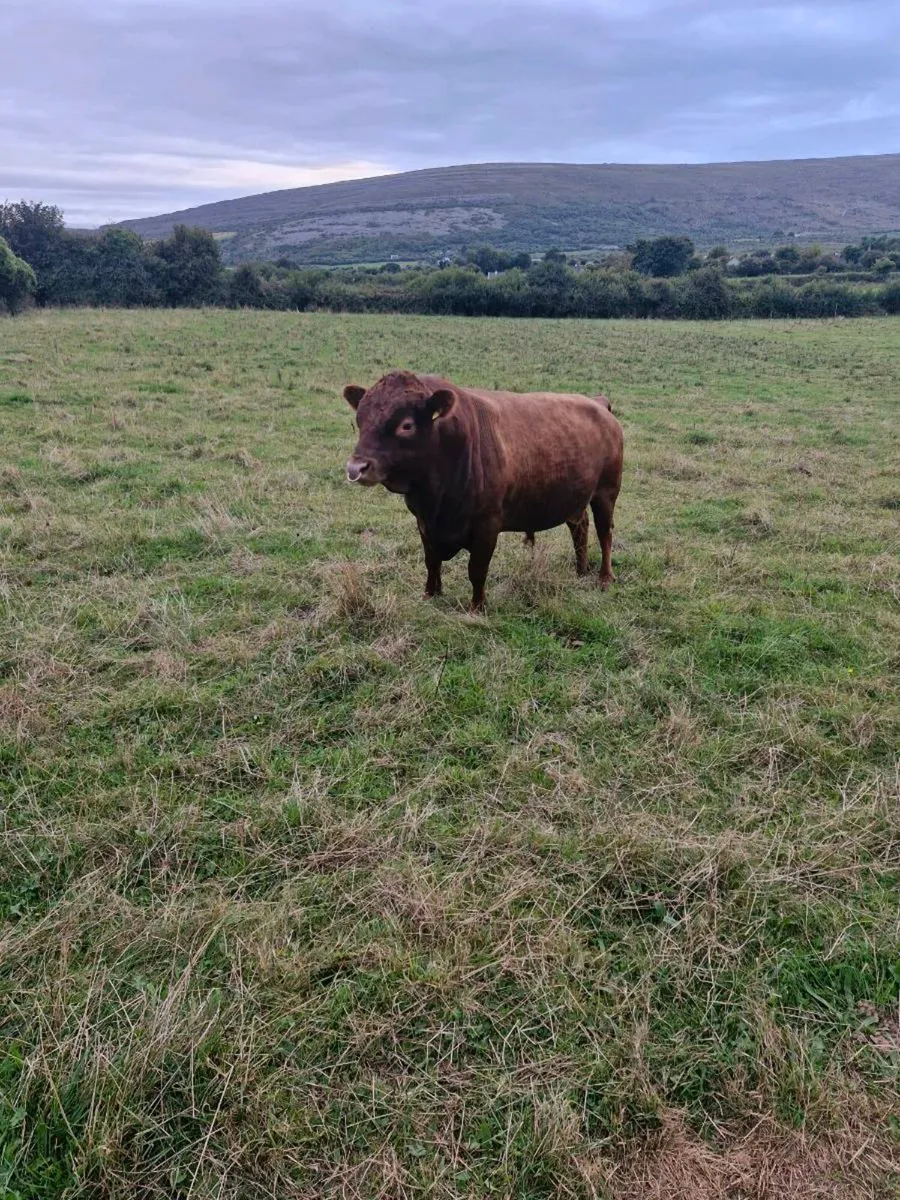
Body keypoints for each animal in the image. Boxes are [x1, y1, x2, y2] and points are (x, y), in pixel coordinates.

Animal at [343, 371, 623, 611]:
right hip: (576, 497)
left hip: (606, 493)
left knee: (604, 533)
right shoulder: (424, 523)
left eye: (407, 425)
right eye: (360, 420)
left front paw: (477, 607)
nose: (356, 467)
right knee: (580, 527)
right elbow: (431, 561)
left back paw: (604, 577)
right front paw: (430, 594)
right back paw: (581, 570)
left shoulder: (487, 525)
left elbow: (477, 570)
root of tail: (597, 403)